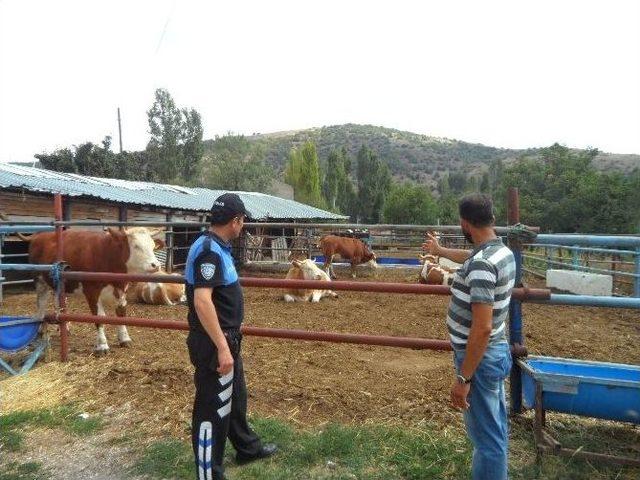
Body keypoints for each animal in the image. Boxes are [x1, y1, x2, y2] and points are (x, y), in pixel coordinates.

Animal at [26, 227, 164, 354]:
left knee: (59, 302)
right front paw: (102, 346)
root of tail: (40, 235)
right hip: (40, 281)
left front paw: (125, 339)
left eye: (153, 246)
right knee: (41, 304)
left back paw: (64, 328)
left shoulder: (121, 289)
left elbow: (121, 313)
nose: (156, 265)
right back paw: (40, 330)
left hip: (59, 285)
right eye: (136, 246)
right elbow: (99, 318)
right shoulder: (92, 291)